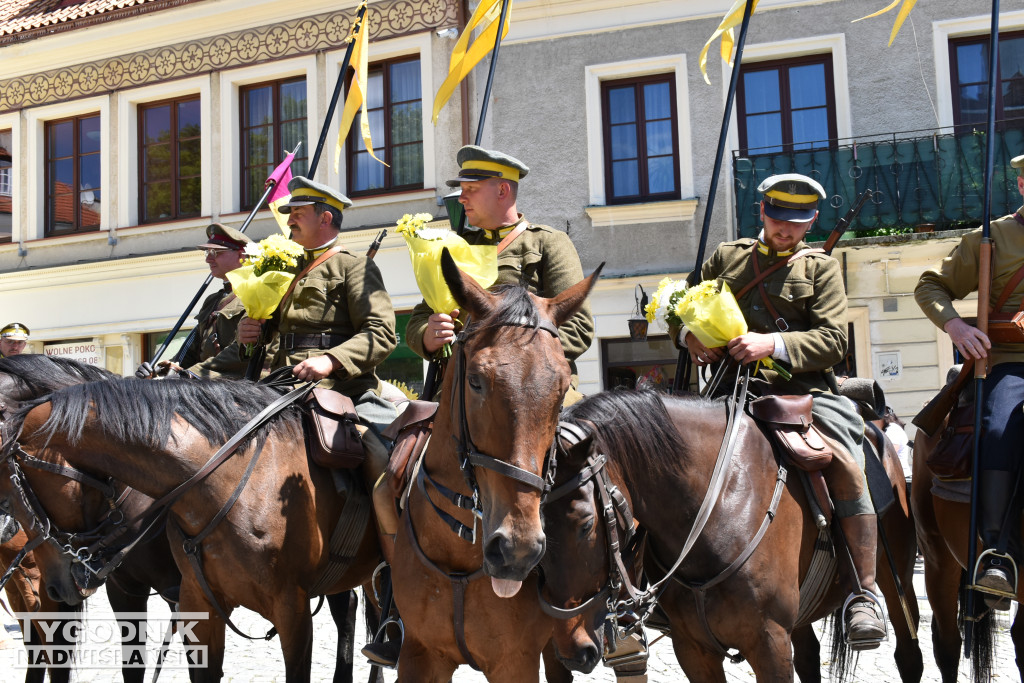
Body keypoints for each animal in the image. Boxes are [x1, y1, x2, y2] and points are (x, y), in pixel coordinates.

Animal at [389, 252, 598, 683]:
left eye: (561, 389)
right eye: (475, 381)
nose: (517, 549)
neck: (457, 554)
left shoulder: (514, 662)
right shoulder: (418, 653)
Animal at [540, 389, 925, 683]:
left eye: (586, 524)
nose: (572, 650)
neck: (721, 503)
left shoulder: (769, 643)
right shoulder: (693, 650)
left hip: (897, 581)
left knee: (908, 655)